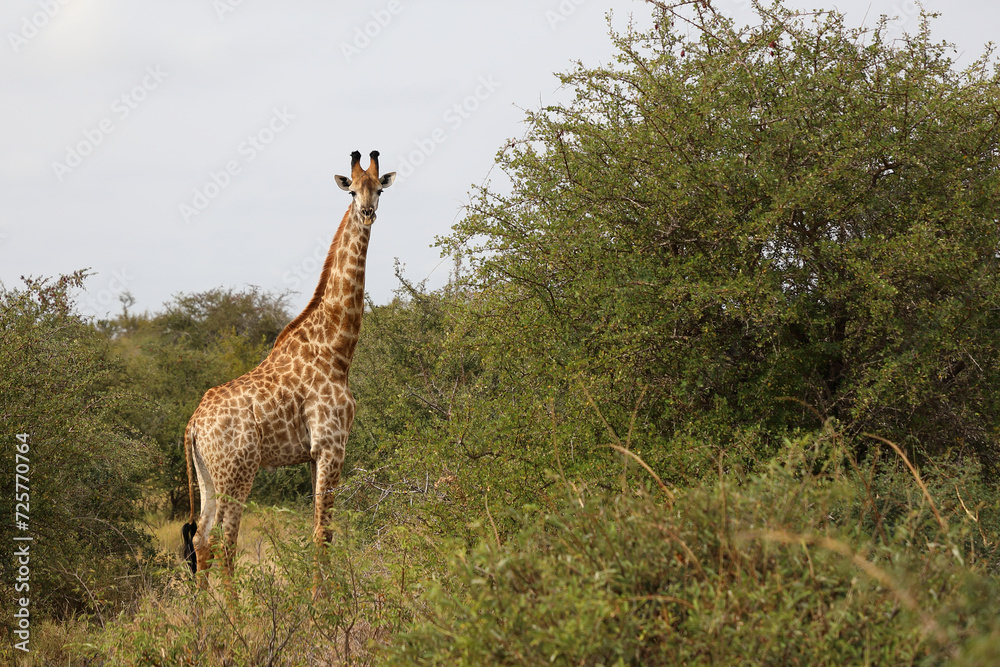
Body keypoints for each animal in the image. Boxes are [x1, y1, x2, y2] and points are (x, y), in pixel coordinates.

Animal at [181, 150, 395, 586]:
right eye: (352, 190)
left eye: (379, 189)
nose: (368, 213)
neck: (336, 348)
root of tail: (193, 425)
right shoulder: (331, 444)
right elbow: (322, 533)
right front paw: (324, 603)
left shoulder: (314, 454)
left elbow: (321, 530)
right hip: (237, 472)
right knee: (225, 542)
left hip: (209, 476)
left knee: (201, 540)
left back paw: (202, 608)